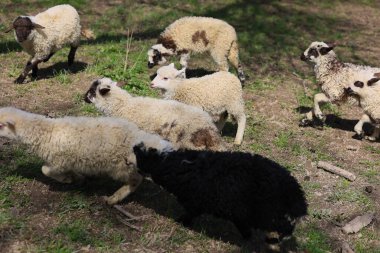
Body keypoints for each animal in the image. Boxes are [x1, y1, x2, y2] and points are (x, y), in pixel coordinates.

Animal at [0, 105, 172, 205]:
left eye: (1, 125)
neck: (46, 133)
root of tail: (139, 137)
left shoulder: (59, 161)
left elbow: (45, 170)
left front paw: (67, 179)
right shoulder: (67, 161)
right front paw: (77, 178)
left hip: (119, 167)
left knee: (135, 180)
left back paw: (114, 199)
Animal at [132, 142, 308, 251]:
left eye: (142, 157)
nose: (135, 147)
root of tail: (294, 190)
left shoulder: (197, 204)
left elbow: (189, 215)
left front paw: (181, 221)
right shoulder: (238, 214)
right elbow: (244, 228)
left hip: (268, 214)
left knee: (286, 227)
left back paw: (276, 240)